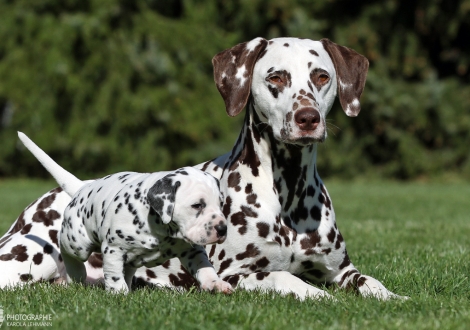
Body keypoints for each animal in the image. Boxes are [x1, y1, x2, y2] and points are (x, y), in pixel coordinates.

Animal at [16, 132, 231, 294]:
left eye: (221, 204)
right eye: (197, 205)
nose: (222, 229)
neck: (159, 229)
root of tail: (82, 188)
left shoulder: (192, 250)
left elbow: (205, 268)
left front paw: (216, 284)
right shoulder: (113, 249)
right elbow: (113, 274)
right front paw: (118, 293)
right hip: (77, 242)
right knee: (67, 249)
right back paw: (76, 274)